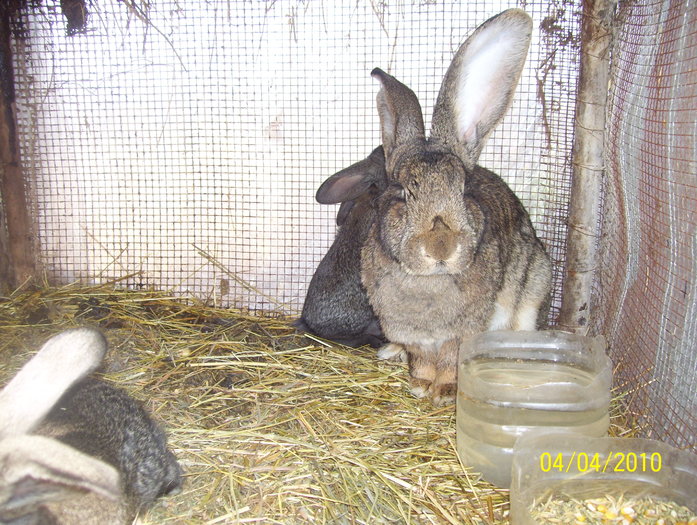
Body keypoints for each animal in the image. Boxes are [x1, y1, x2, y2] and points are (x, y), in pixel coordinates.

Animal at [358, 9, 548, 406]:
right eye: (404, 192)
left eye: (462, 190)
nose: (440, 248)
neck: (429, 281)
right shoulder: (409, 330)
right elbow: (422, 358)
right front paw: (419, 384)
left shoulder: (463, 331)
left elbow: (449, 359)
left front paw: (445, 392)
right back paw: (391, 352)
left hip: (533, 284)